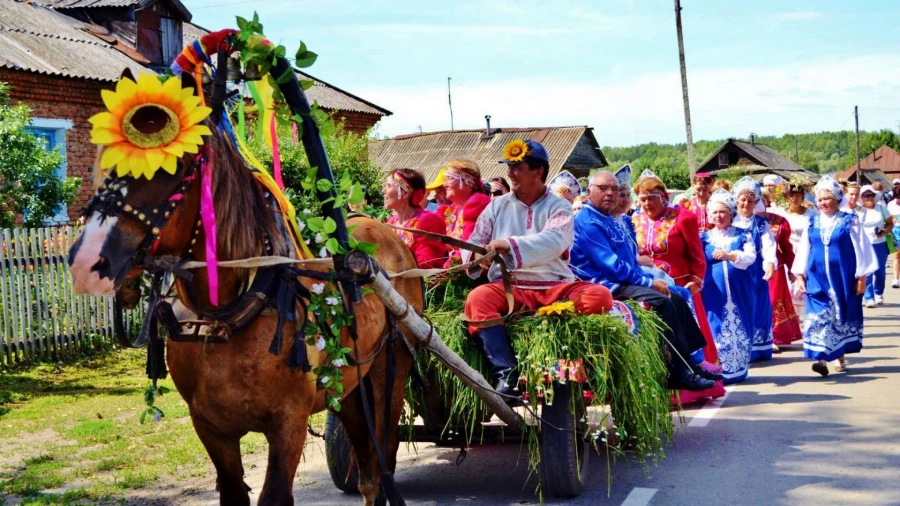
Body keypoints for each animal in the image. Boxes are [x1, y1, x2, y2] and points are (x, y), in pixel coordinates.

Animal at [68, 71, 420, 506]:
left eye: (171, 168)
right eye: (102, 160)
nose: (86, 263)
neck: (228, 316)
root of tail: (383, 231)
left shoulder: (288, 424)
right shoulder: (210, 427)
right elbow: (234, 492)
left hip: (391, 371)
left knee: (384, 457)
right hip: (349, 386)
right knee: (370, 472)